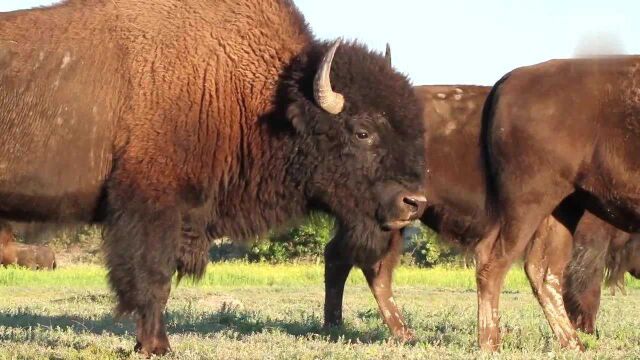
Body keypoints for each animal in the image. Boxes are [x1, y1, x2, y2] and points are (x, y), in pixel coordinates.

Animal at [1, 0, 430, 354]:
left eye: (412, 130)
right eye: (362, 132)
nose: (414, 203)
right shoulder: (150, 209)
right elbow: (153, 279)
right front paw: (158, 346)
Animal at [482, 55, 640, 352]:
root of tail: (509, 80)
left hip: (561, 209)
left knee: (542, 272)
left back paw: (573, 344)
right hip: (526, 206)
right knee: (492, 264)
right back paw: (490, 345)